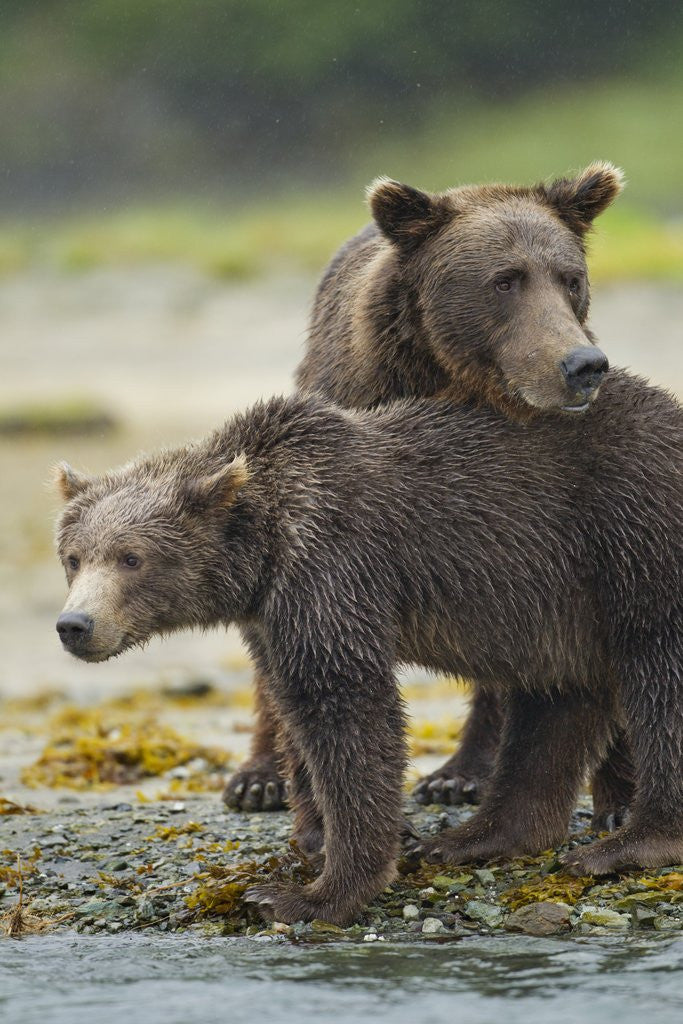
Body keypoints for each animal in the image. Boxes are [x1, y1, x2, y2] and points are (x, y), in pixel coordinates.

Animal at [54, 374, 682, 926]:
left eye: (131, 557)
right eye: (74, 556)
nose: (74, 624)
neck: (265, 547)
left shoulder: (333, 567)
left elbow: (348, 708)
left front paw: (308, 894)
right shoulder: (274, 614)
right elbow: (297, 711)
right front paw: (326, 837)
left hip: (633, 534)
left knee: (657, 677)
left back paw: (631, 841)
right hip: (559, 604)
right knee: (553, 703)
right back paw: (476, 837)